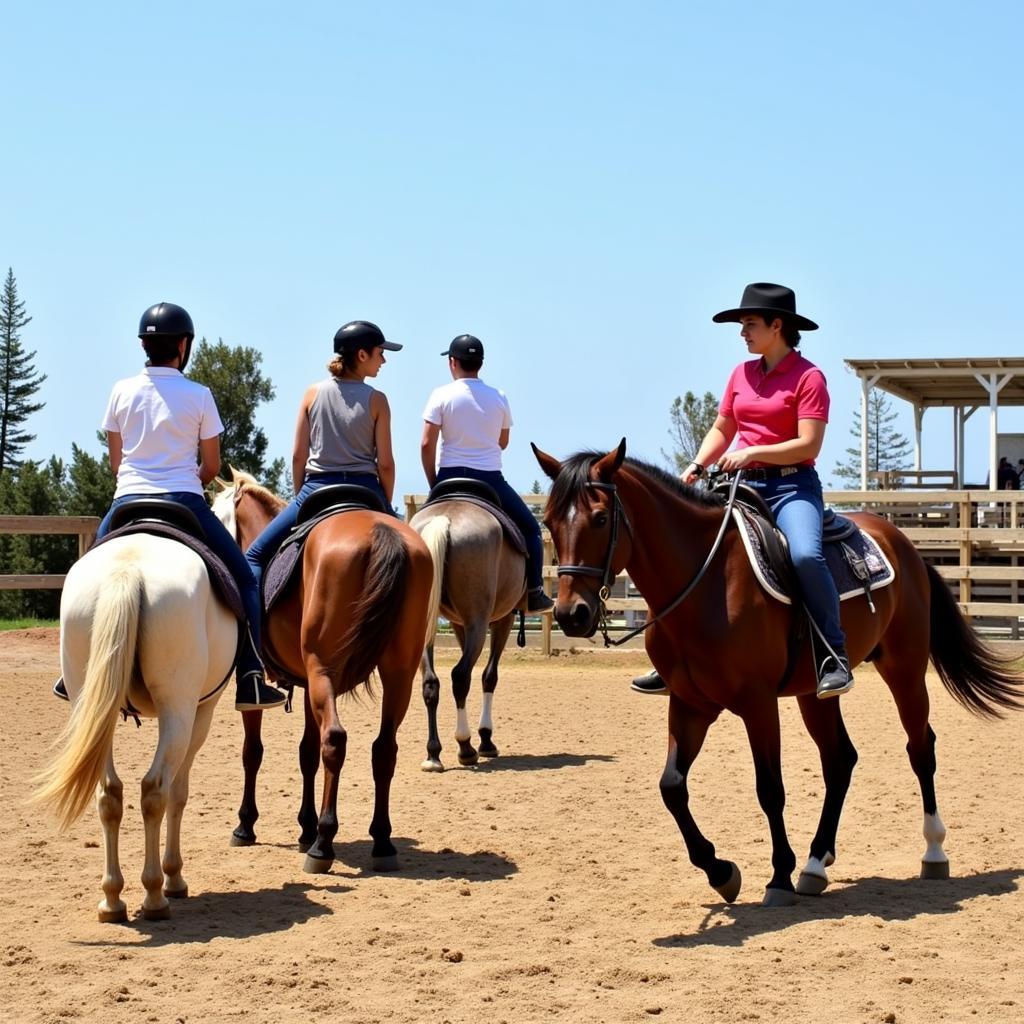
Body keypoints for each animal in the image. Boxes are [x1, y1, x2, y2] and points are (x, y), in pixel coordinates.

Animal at [34, 520, 237, 921]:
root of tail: (127, 569)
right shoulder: (201, 714)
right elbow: (179, 794)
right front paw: (174, 877)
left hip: (93, 709)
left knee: (109, 794)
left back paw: (112, 899)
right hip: (178, 710)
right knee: (155, 790)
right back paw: (156, 893)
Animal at [207, 471, 432, 872]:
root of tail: (380, 530)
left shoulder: (257, 684)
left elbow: (253, 751)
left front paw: (247, 825)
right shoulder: (307, 684)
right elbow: (306, 753)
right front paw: (304, 828)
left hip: (323, 669)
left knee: (335, 740)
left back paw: (323, 845)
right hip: (396, 674)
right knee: (383, 748)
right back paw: (382, 841)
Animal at [409, 479, 528, 770]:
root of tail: (444, 519)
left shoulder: (457, 623)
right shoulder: (502, 620)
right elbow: (488, 676)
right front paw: (485, 739)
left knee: (431, 682)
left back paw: (433, 754)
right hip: (479, 622)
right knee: (460, 676)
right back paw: (465, 746)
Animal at [532, 438, 1019, 905]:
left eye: (599, 518)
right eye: (550, 523)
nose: (572, 614)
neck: (705, 582)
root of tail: (904, 546)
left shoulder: (758, 703)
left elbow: (770, 789)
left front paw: (778, 877)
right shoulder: (689, 704)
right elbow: (672, 786)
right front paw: (721, 872)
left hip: (906, 669)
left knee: (920, 749)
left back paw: (932, 852)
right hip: (814, 693)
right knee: (839, 760)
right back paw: (816, 863)